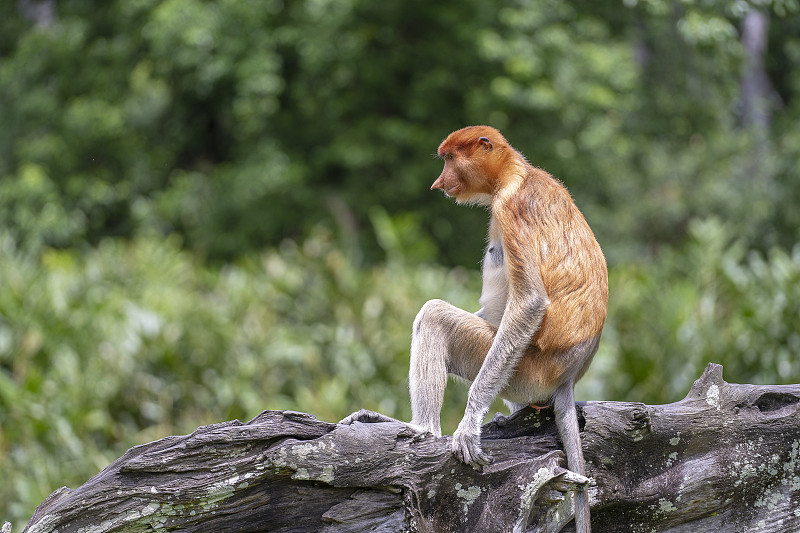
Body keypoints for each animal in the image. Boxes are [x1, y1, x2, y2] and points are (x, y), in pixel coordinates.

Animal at [338, 125, 608, 532]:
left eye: (450, 159)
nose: (438, 183)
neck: (514, 173)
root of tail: (567, 376)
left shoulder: (511, 208)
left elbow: (529, 302)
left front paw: (467, 426)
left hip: (525, 370)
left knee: (434, 316)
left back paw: (424, 430)